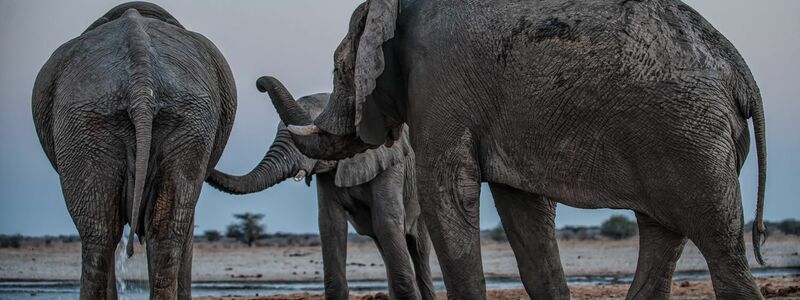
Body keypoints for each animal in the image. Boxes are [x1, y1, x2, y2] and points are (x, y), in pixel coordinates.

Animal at [270, 0, 768, 300]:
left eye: (338, 69)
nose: (259, 81)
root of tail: (744, 76)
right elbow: (523, 212)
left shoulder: (440, 82)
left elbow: (447, 194)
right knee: (663, 235)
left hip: (692, 137)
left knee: (720, 247)